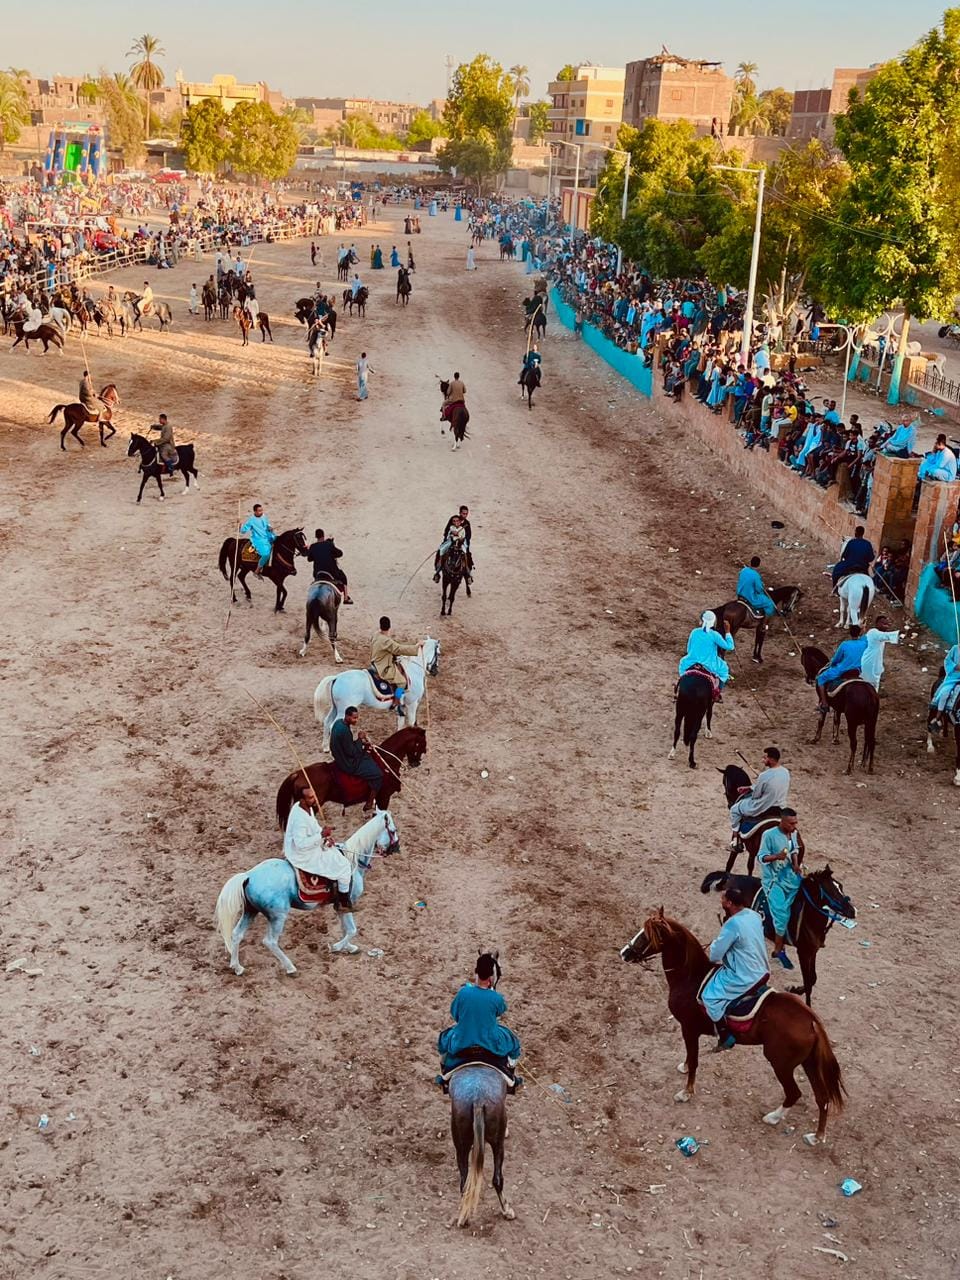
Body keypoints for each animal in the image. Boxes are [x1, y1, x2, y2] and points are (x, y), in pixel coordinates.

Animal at [215, 803, 401, 972]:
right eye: (393, 830)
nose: (396, 849)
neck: (352, 860)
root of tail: (249, 876)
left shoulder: (339, 906)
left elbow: (346, 928)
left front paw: (348, 947)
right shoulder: (348, 901)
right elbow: (352, 930)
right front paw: (336, 947)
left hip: (250, 911)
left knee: (236, 934)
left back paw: (237, 967)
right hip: (278, 916)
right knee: (270, 941)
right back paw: (290, 967)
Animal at [619, 906, 844, 1146]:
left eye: (646, 935)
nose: (624, 953)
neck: (690, 978)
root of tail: (811, 1020)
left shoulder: (688, 1029)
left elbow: (695, 1060)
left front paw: (686, 1092)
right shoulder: (690, 1031)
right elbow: (690, 1057)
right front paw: (685, 1067)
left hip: (780, 1064)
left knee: (794, 1093)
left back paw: (773, 1117)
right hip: (808, 1064)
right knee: (823, 1098)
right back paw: (817, 1136)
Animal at [701, 865, 860, 1003]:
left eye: (841, 887)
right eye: (831, 891)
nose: (853, 911)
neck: (808, 917)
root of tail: (731, 876)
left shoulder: (812, 951)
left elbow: (813, 978)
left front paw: (796, 989)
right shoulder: (803, 952)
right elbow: (809, 982)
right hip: (732, 913)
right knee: (726, 922)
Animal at [803, 645, 880, 773]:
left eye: (804, 661)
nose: (808, 679)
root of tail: (870, 694)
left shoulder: (823, 702)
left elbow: (821, 721)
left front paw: (815, 739)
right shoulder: (837, 708)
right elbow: (836, 721)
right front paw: (835, 739)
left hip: (852, 723)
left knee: (854, 743)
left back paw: (849, 768)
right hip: (871, 723)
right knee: (871, 741)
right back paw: (868, 766)